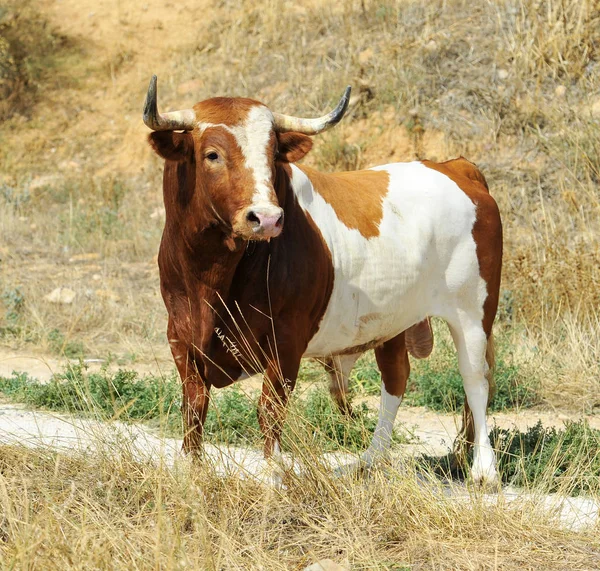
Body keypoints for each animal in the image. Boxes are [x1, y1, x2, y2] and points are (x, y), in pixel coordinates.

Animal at [144, 76, 502, 484]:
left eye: (273, 155)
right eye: (212, 155)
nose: (266, 218)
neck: (211, 275)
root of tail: (456, 167)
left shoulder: (286, 340)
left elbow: (270, 408)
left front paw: (272, 474)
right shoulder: (180, 334)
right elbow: (194, 406)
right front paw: (189, 469)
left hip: (473, 311)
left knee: (475, 379)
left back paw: (484, 469)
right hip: (393, 321)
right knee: (396, 377)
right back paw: (370, 460)